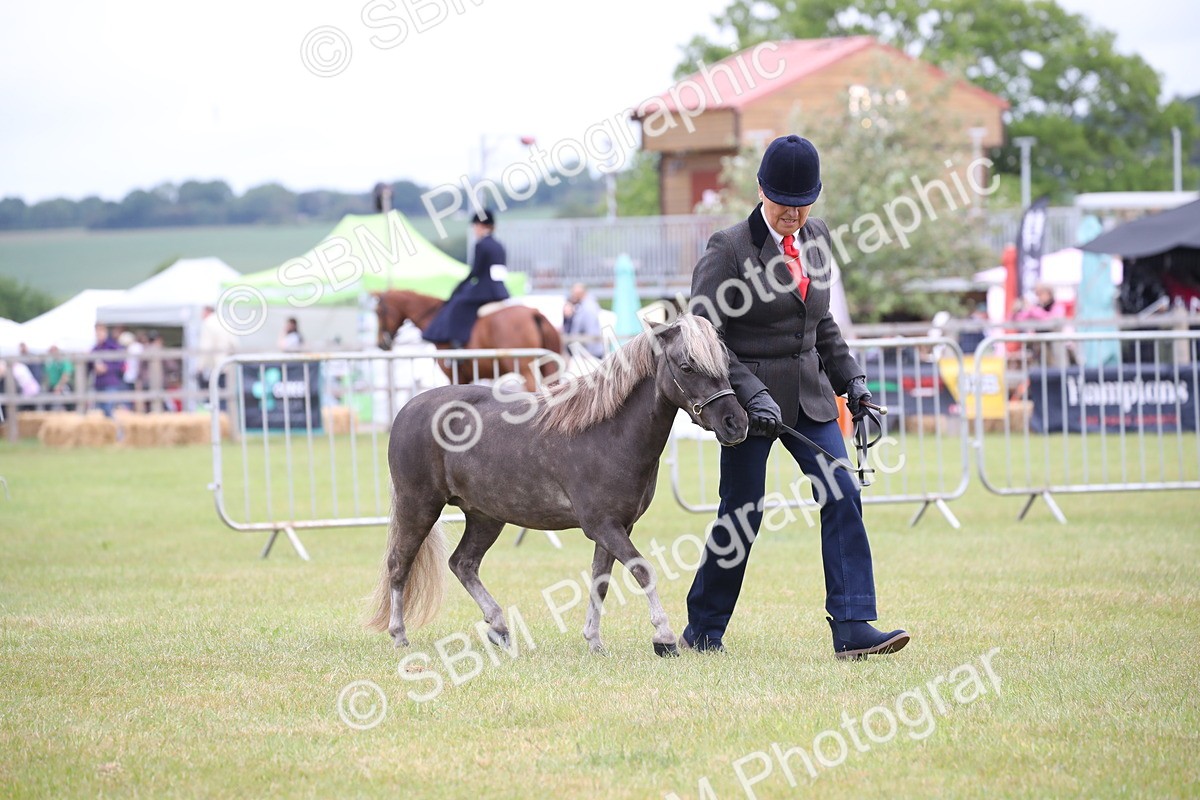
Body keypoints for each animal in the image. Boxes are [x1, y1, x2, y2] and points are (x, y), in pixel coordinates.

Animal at [367, 313, 748, 656]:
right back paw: (400, 636)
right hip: (419, 507)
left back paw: (500, 628)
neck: (608, 433)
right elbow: (643, 570)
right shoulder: (603, 527)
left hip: (485, 517)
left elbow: (600, 581)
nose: (736, 423)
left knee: (462, 564)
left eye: (725, 363)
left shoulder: (617, 527)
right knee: (399, 565)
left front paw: (594, 642)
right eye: (687, 367)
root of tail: (408, 409)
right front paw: (664, 638)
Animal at [373, 289, 562, 392]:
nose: (381, 344)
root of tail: (534, 313)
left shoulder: (455, 375)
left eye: (378, 312)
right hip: (547, 365)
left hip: (523, 367)